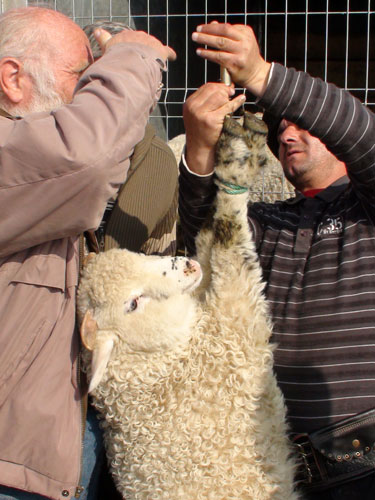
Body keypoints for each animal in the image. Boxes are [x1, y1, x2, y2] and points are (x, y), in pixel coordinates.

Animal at [77, 112, 300, 500]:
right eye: (133, 303)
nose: (184, 265)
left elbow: (208, 237)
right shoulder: (236, 327)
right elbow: (229, 234)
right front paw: (235, 163)